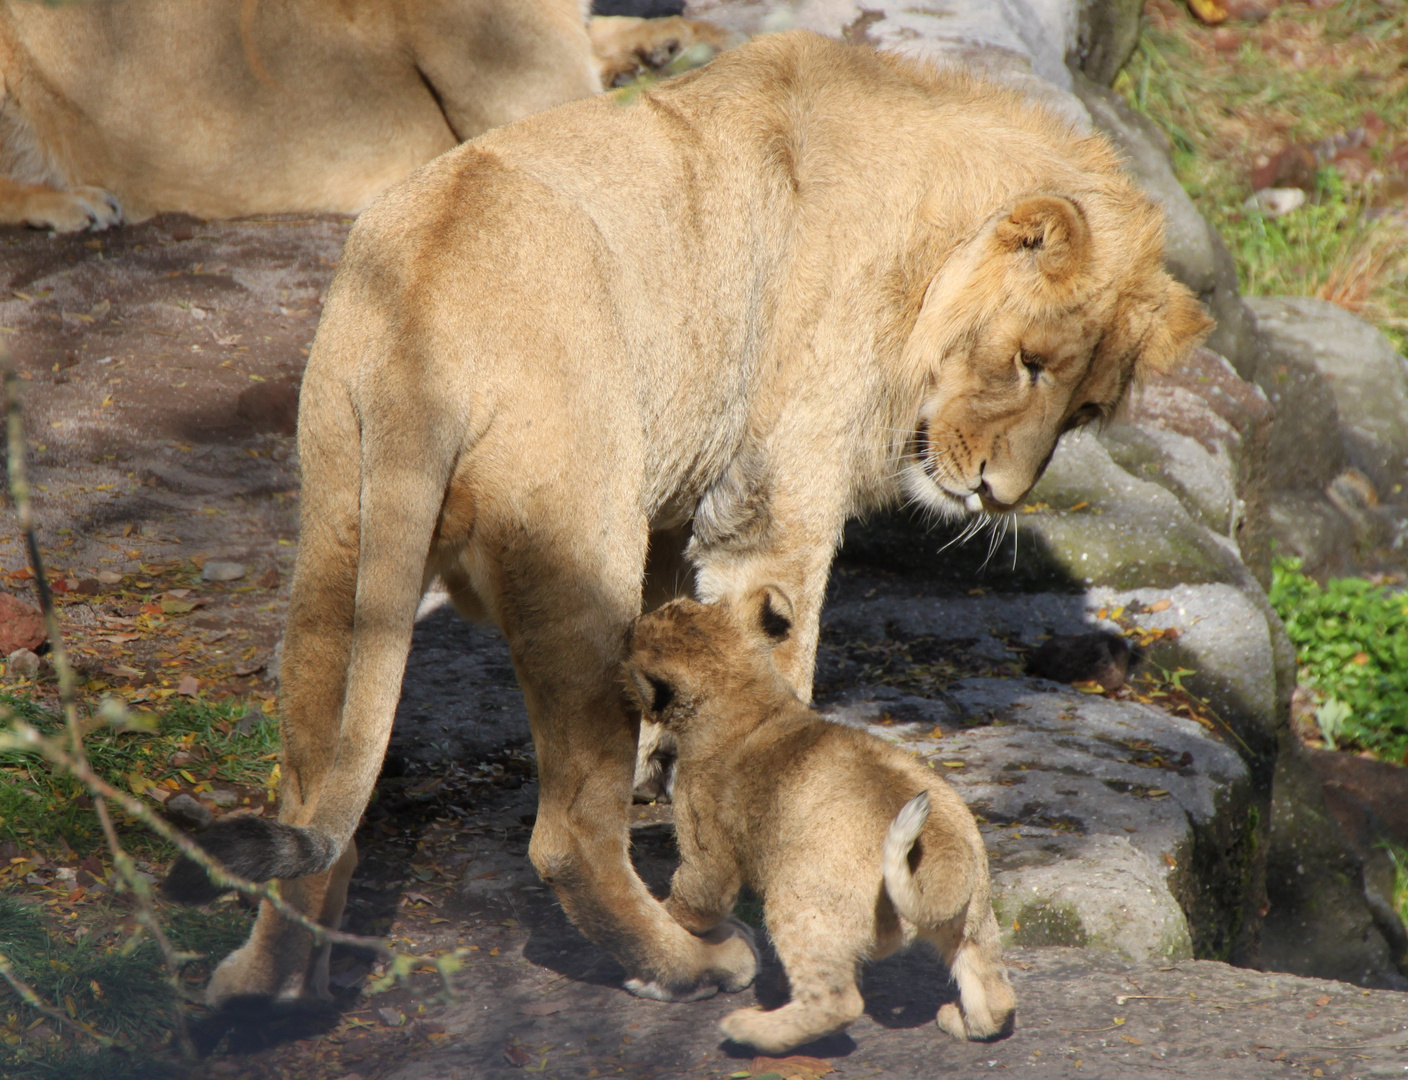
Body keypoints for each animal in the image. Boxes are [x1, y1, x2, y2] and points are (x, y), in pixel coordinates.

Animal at [625, 585, 1013, 1053]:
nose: (630, 623)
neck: (748, 699)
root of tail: (944, 852)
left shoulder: (706, 844)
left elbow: (696, 899)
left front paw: (666, 919)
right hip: (973, 917)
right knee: (995, 994)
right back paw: (958, 1021)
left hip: (801, 904)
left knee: (836, 1002)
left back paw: (748, 1029)